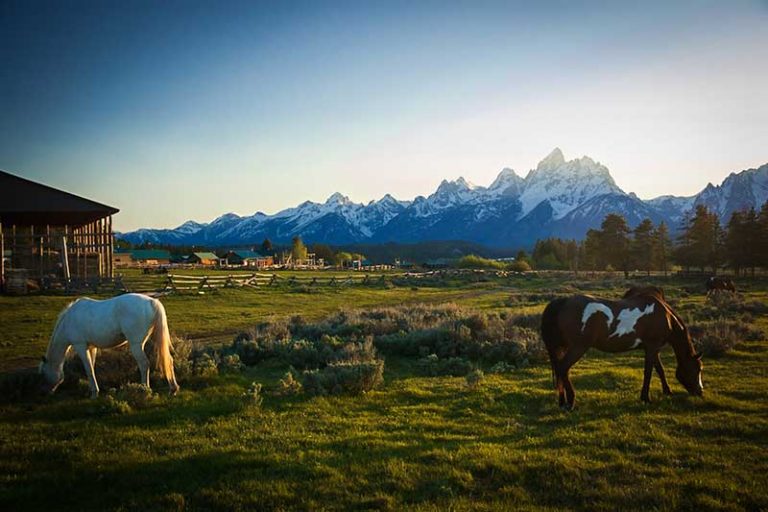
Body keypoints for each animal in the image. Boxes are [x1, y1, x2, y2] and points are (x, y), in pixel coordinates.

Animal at [41, 294, 181, 398]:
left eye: (43, 373)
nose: (46, 392)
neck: (69, 321)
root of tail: (152, 301)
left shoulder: (80, 346)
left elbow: (88, 369)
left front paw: (94, 394)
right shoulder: (91, 347)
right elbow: (92, 367)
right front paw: (94, 390)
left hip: (136, 345)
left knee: (144, 364)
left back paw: (144, 390)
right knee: (168, 360)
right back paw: (173, 389)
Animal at [540, 286, 704, 410]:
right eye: (697, 369)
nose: (700, 392)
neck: (666, 317)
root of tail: (563, 302)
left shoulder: (652, 348)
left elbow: (660, 369)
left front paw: (667, 391)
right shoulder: (652, 347)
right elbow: (649, 372)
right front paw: (646, 397)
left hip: (562, 347)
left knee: (560, 370)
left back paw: (562, 402)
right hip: (577, 347)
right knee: (563, 368)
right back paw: (571, 402)